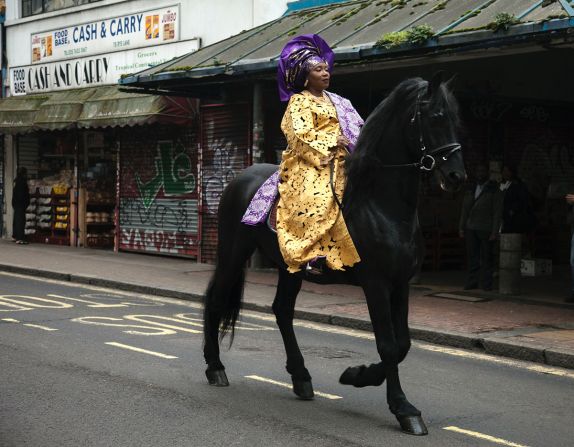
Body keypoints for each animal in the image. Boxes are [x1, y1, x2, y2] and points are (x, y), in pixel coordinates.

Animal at [201, 75, 464, 436]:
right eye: (436, 117)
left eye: (457, 119)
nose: (456, 176)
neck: (380, 205)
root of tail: (240, 177)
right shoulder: (376, 283)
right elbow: (388, 344)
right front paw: (403, 408)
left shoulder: (401, 283)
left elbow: (403, 343)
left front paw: (358, 375)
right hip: (233, 251)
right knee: (216, 300)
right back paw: (215, 368)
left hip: (289, 266)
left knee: (282, 310)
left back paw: (300, 377)